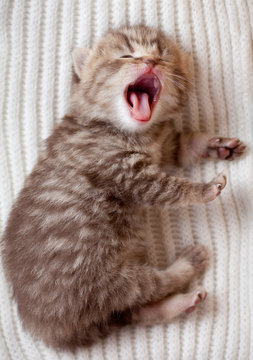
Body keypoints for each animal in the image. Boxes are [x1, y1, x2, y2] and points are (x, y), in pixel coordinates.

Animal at [1, 26, 246, 352]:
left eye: (163, 56)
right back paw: (187, 264)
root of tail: (57, 331)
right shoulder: (124, 171)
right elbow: (167, 189)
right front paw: (204, 188)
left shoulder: (164, 148)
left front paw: (215, 144)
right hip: (102, 280)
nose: (150, 62)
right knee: (149, 286)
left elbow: (183, 146)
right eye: (127, 55)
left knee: (138, 311)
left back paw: (180, 303)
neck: (136, 132)